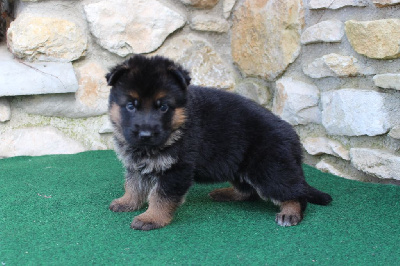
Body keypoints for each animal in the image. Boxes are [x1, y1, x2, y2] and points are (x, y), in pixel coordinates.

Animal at [105, 54, 332, 231]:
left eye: (163, 107)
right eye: (131, 106)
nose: (145, 134)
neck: (180, 124)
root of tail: (292, 135)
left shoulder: (177, 170)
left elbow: (161, 196)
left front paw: (151, 217)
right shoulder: (136, 165)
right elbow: (133, 185)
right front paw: (127, 202)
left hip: (270, 171)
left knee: (296, 194)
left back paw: (290, 212)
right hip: (239, 167)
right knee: (248, 191)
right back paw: (225, 193)